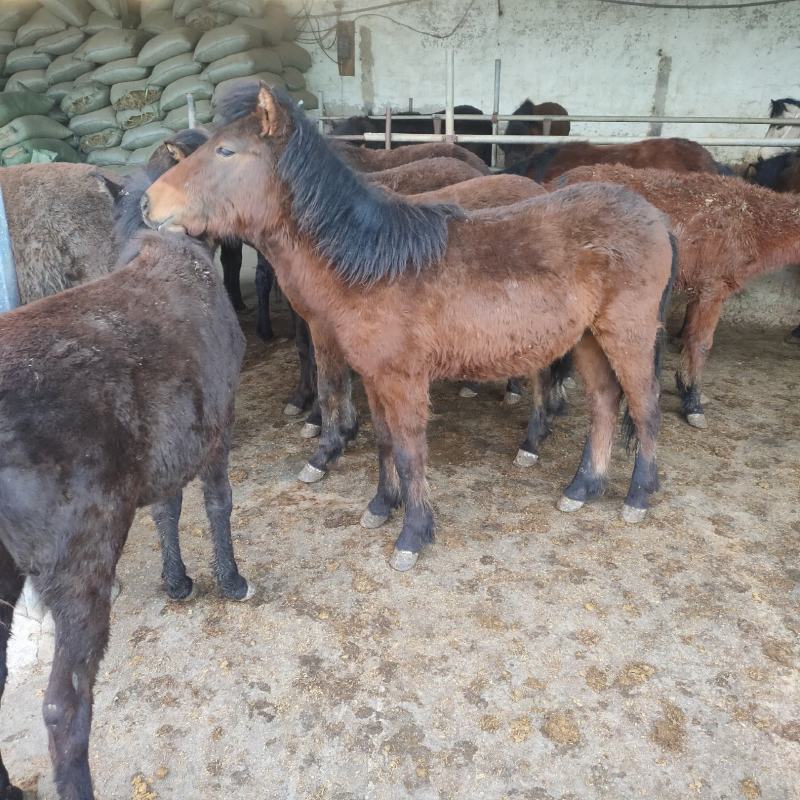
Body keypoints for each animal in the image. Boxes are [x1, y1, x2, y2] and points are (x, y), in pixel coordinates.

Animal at [144, 84, 677, 573]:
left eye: (226, 151)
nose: (150, 203)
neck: (370, 264)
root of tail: (656, 217)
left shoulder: (402, 380)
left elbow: (408, 451)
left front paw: (413, 534)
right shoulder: (374, 376)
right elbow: (384, 442)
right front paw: (382, 505)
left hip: (626, 334)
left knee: (645, 407)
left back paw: (637, 496)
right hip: (587, 338)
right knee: (605, 403)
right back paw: (583, 487)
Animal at [551, 164, 800, 428]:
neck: (749, 220)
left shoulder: (698, 288)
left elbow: (689, 336)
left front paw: (685, 387)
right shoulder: (713, 287)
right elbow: (700, 344)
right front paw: (693, 403)